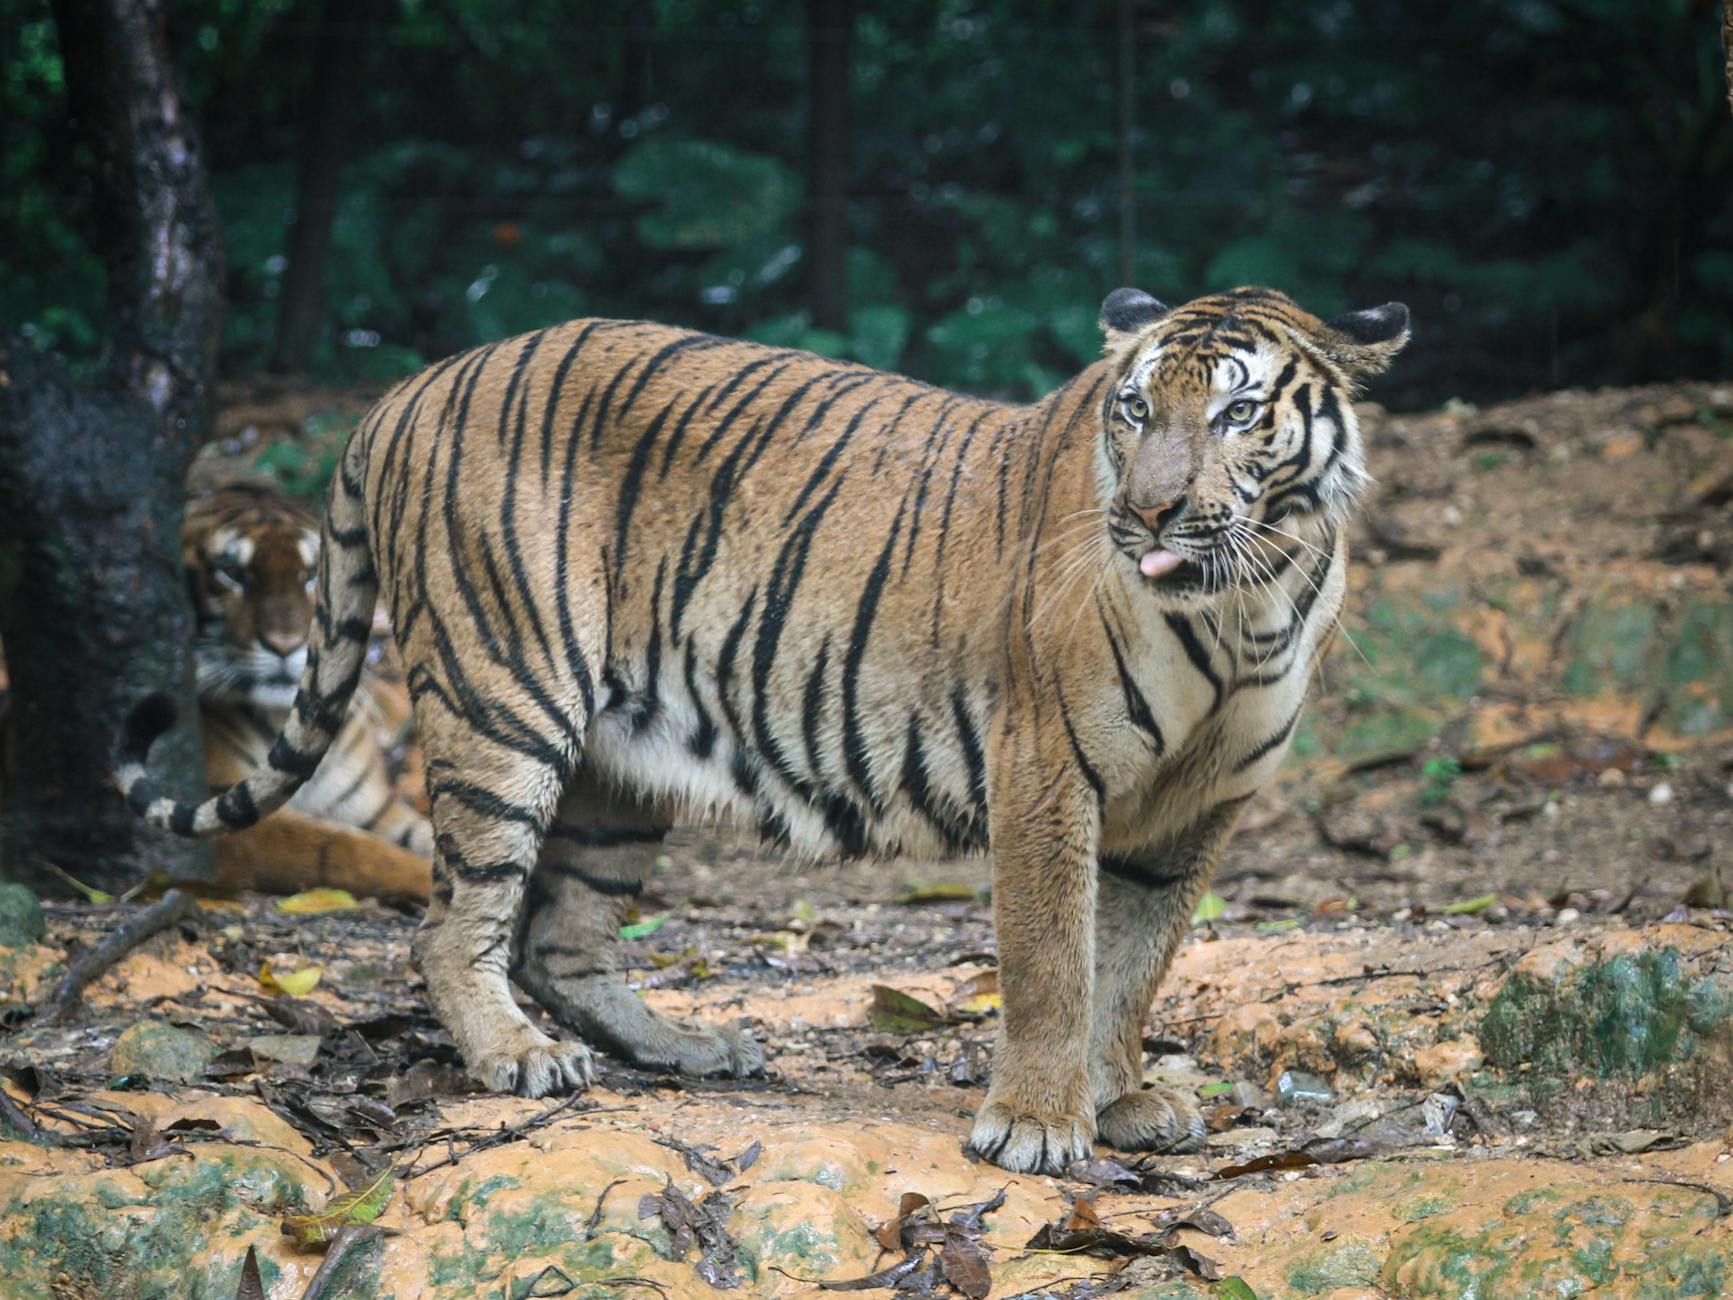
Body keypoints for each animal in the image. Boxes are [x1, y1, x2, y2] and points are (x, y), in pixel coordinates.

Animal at [182, 484, 433, 898]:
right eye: (232, 573)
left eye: (312, 575)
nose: (285, 644)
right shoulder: (219, 809)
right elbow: (343, 849)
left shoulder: (373, 810)